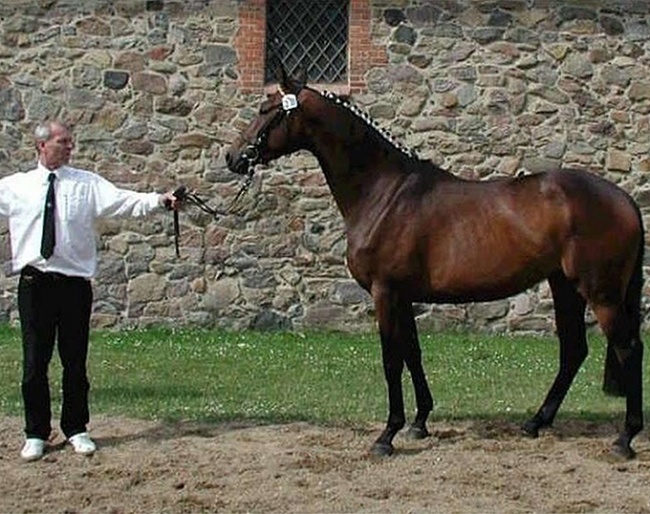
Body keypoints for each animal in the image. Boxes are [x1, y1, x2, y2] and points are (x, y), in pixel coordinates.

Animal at [225, 67, 640, 456]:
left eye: (265, 110)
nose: (232, 157)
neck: (383, 192)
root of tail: (624, 199)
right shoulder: (403, 296)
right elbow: (413, 353)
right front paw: (419, 422)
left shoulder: (385, 292)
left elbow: (391, 359)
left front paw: (387, 435)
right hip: (564, 285)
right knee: (574, 350)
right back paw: (536, 422)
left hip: (599, 292)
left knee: (627, 348)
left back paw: (625, 438)